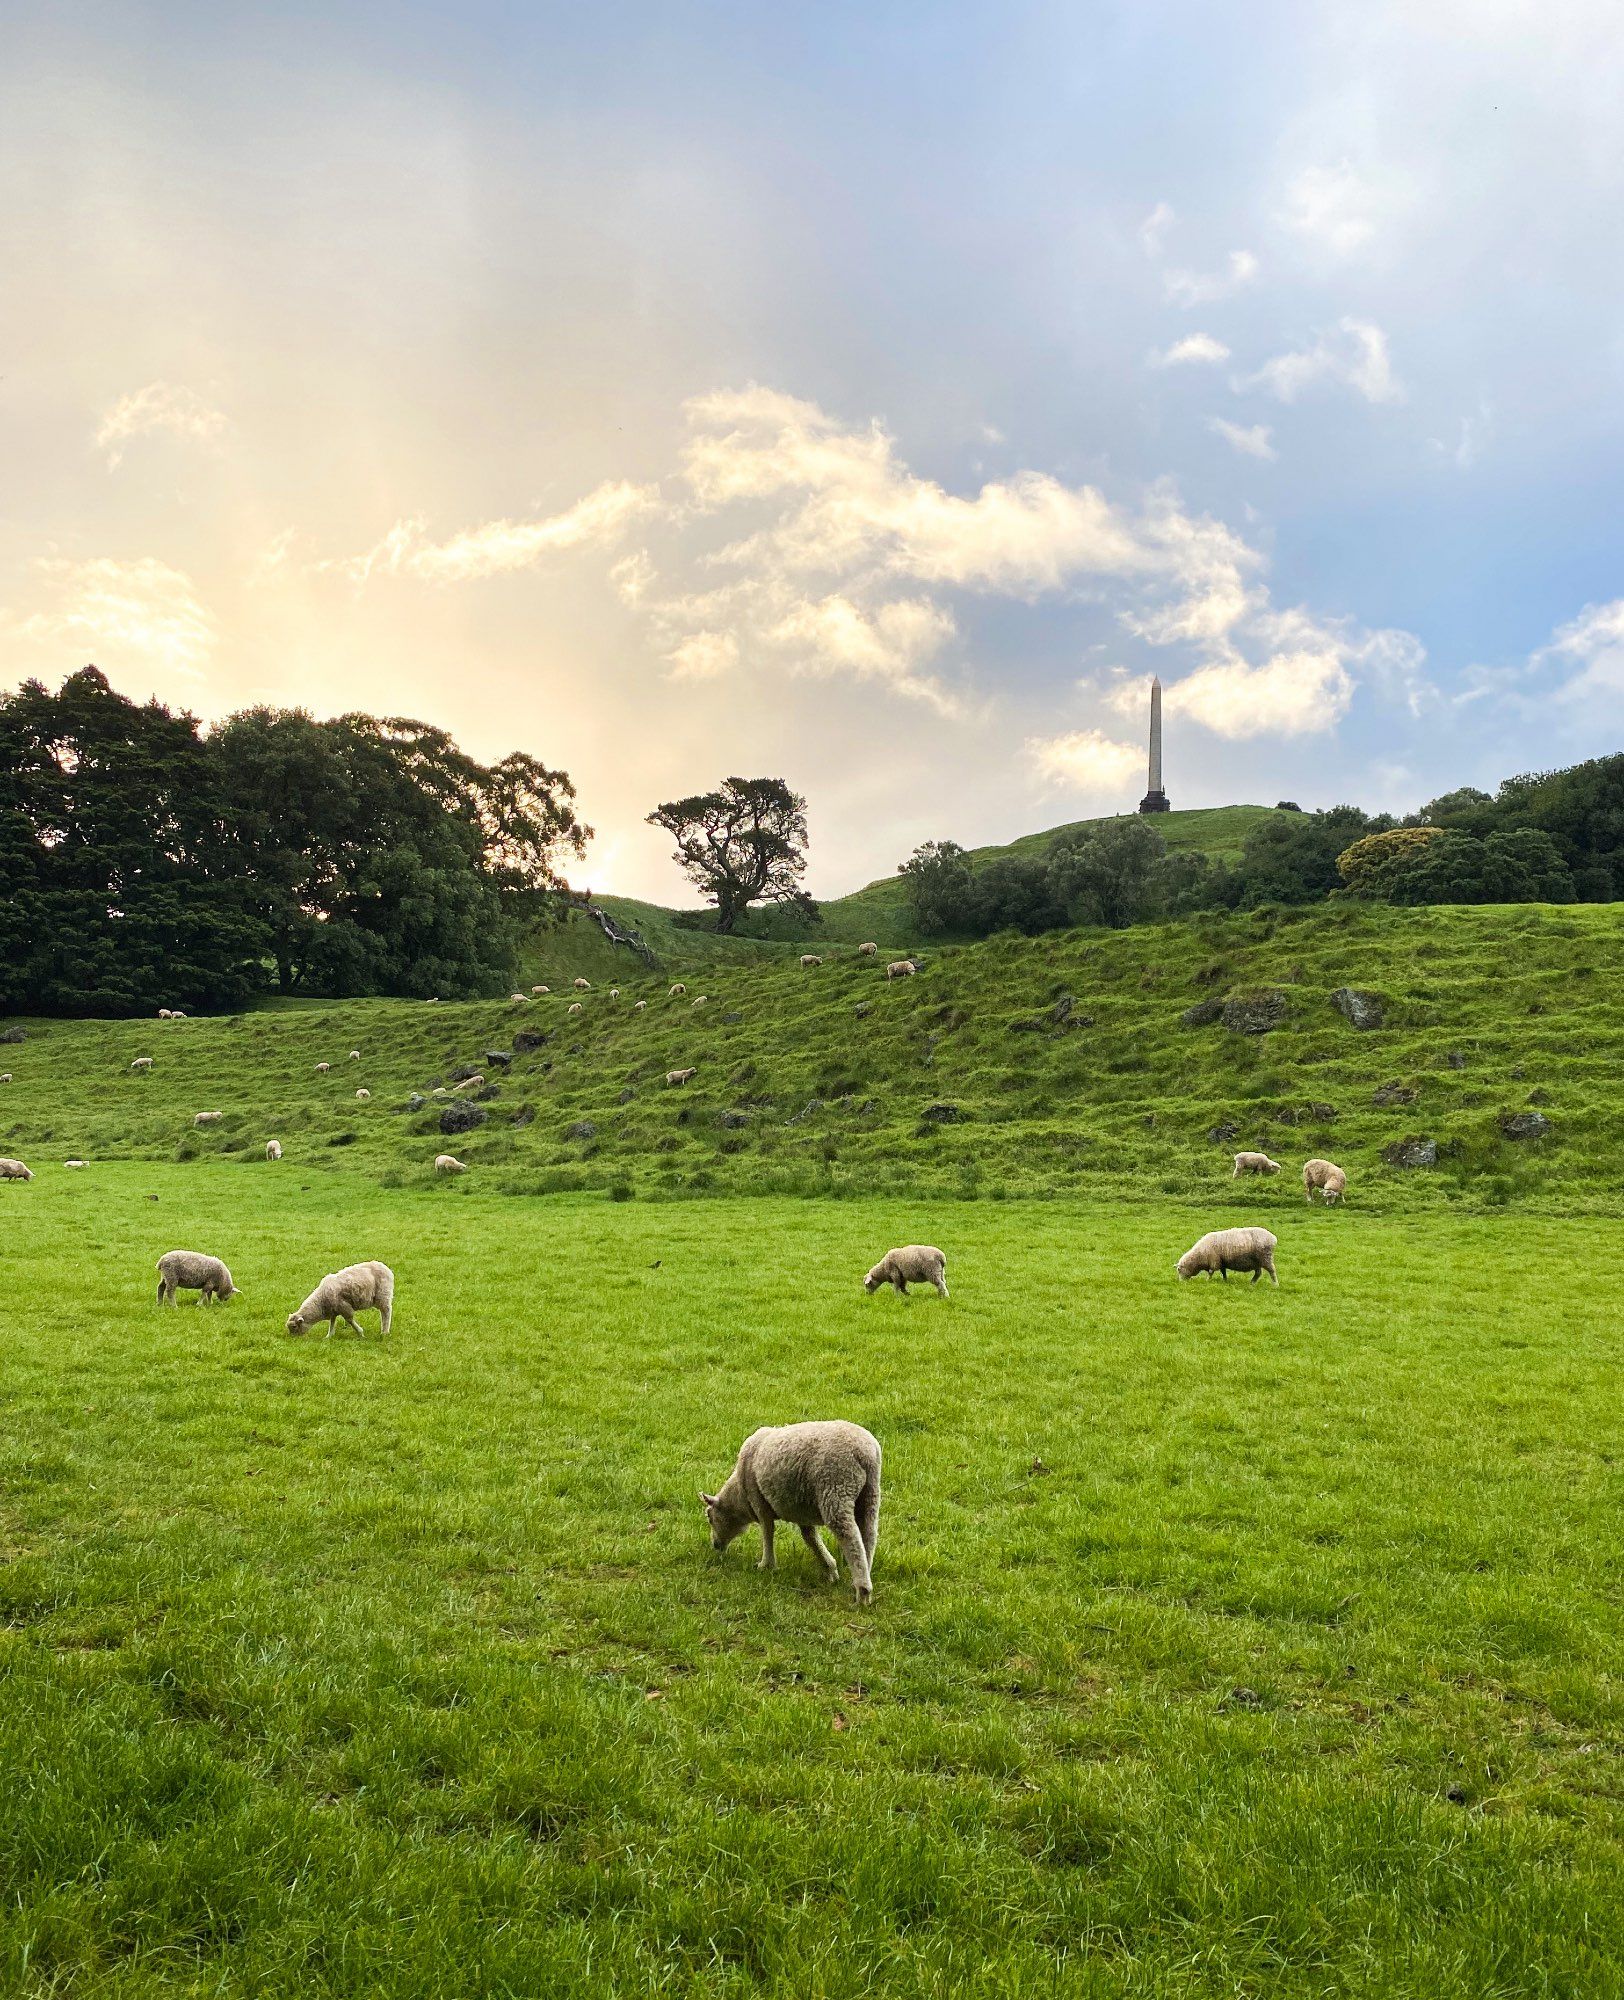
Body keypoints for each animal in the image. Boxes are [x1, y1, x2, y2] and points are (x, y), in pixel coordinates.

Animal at [700, 1424, 880, 1608]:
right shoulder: (802, 1512)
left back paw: (863, 1592)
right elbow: (810, 1538)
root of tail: (864, 1453)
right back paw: (865, 1575)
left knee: (850, 1537)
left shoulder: (759, 1502)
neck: (740, 1497)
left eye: (709, 1517)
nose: (716, 1546)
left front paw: (766, 1565)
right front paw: (830, 1569)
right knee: (869, 1534)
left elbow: (767, 1532)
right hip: (869, 1494)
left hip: (836, 1486)